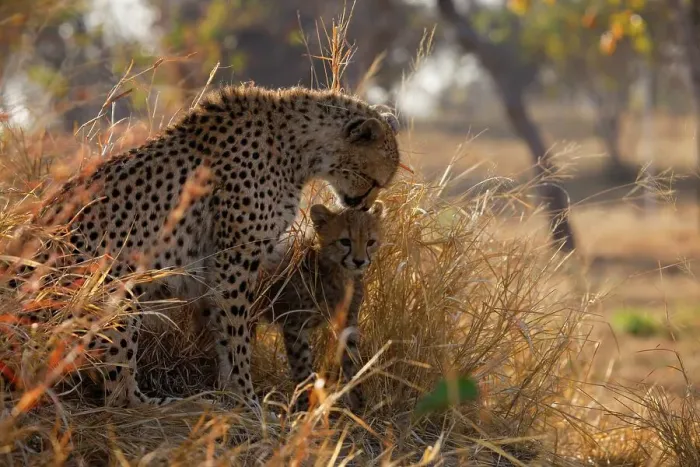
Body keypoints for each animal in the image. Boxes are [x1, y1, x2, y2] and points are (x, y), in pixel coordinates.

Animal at [256, 201, 385, 413]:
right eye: (345, 241)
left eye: (370, 242)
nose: (359, 261)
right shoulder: (295, 325)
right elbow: (302, 366)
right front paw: (304, 406)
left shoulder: (347, 322)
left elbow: (352, 361)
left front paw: (359, 404)